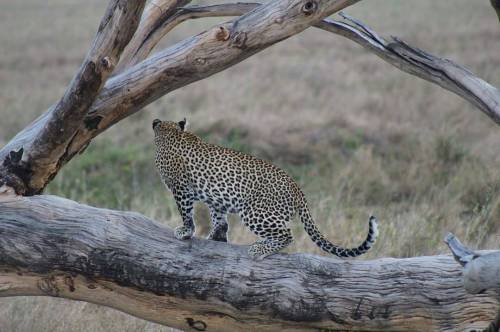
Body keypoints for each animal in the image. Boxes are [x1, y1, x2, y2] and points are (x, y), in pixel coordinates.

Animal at [152, 118, 378, 260]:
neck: (172, 134)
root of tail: (297, 188)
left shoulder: (180, 189)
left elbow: (186, 213)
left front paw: (185, 231)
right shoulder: (215, 198)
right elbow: (219, 218)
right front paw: (218, 237)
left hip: (255, 212)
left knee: (287, 235)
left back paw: (259, 249)